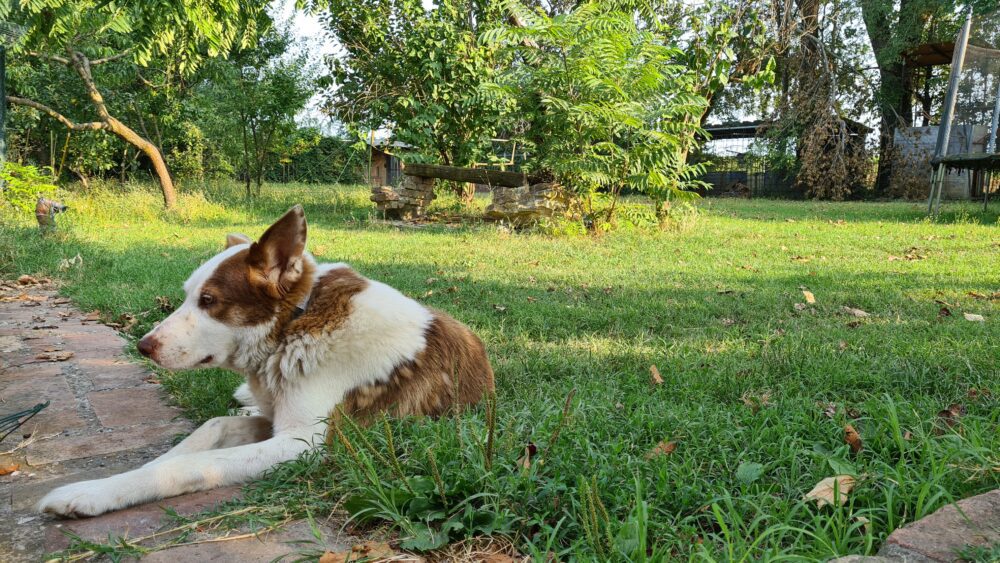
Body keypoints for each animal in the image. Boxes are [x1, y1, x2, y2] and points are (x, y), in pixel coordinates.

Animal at [38, 205, 492, 516]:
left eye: (209, 301)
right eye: (187, 296)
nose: (143, 346)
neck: (293, 327)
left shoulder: (304, 444)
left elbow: (191, 464)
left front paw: (91, 493)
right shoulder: (274, 420)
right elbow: (205, 431)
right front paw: (118, 478)